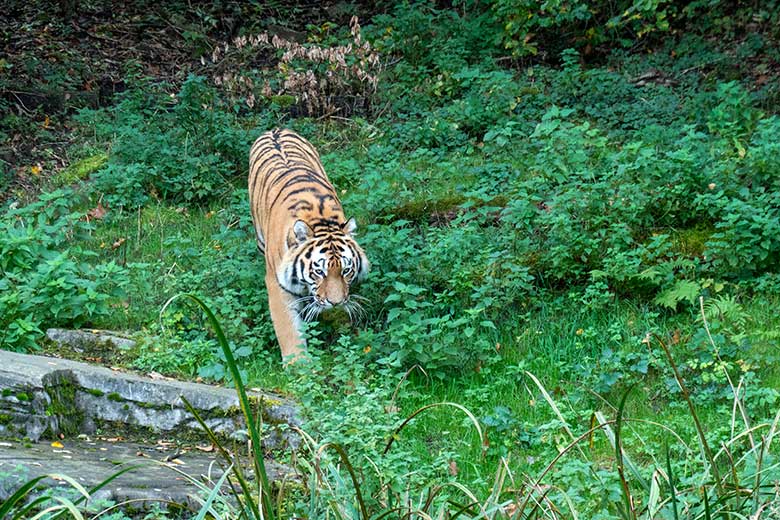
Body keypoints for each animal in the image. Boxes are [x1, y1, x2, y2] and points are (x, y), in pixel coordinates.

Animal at [250, 128, 372, 362]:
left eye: (346, 270)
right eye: (319, 271)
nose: (336, 303)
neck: (321, 220)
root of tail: (276, 129)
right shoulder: (277, 285)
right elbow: (288, 328)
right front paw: (298, 364)